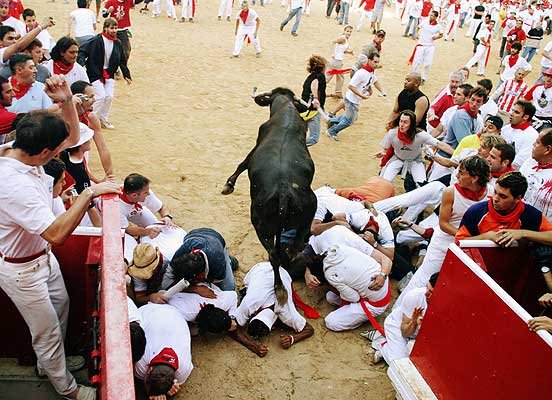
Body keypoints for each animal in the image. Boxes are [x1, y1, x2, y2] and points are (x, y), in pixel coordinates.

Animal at [220, 88, 314, 304]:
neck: (286, 109)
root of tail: (284, 192)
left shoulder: (253, 148)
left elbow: (242, 164)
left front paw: (228, 185)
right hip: (307, 214)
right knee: (294, 245)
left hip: (260, 226)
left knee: (273, 256)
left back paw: (279, 288)